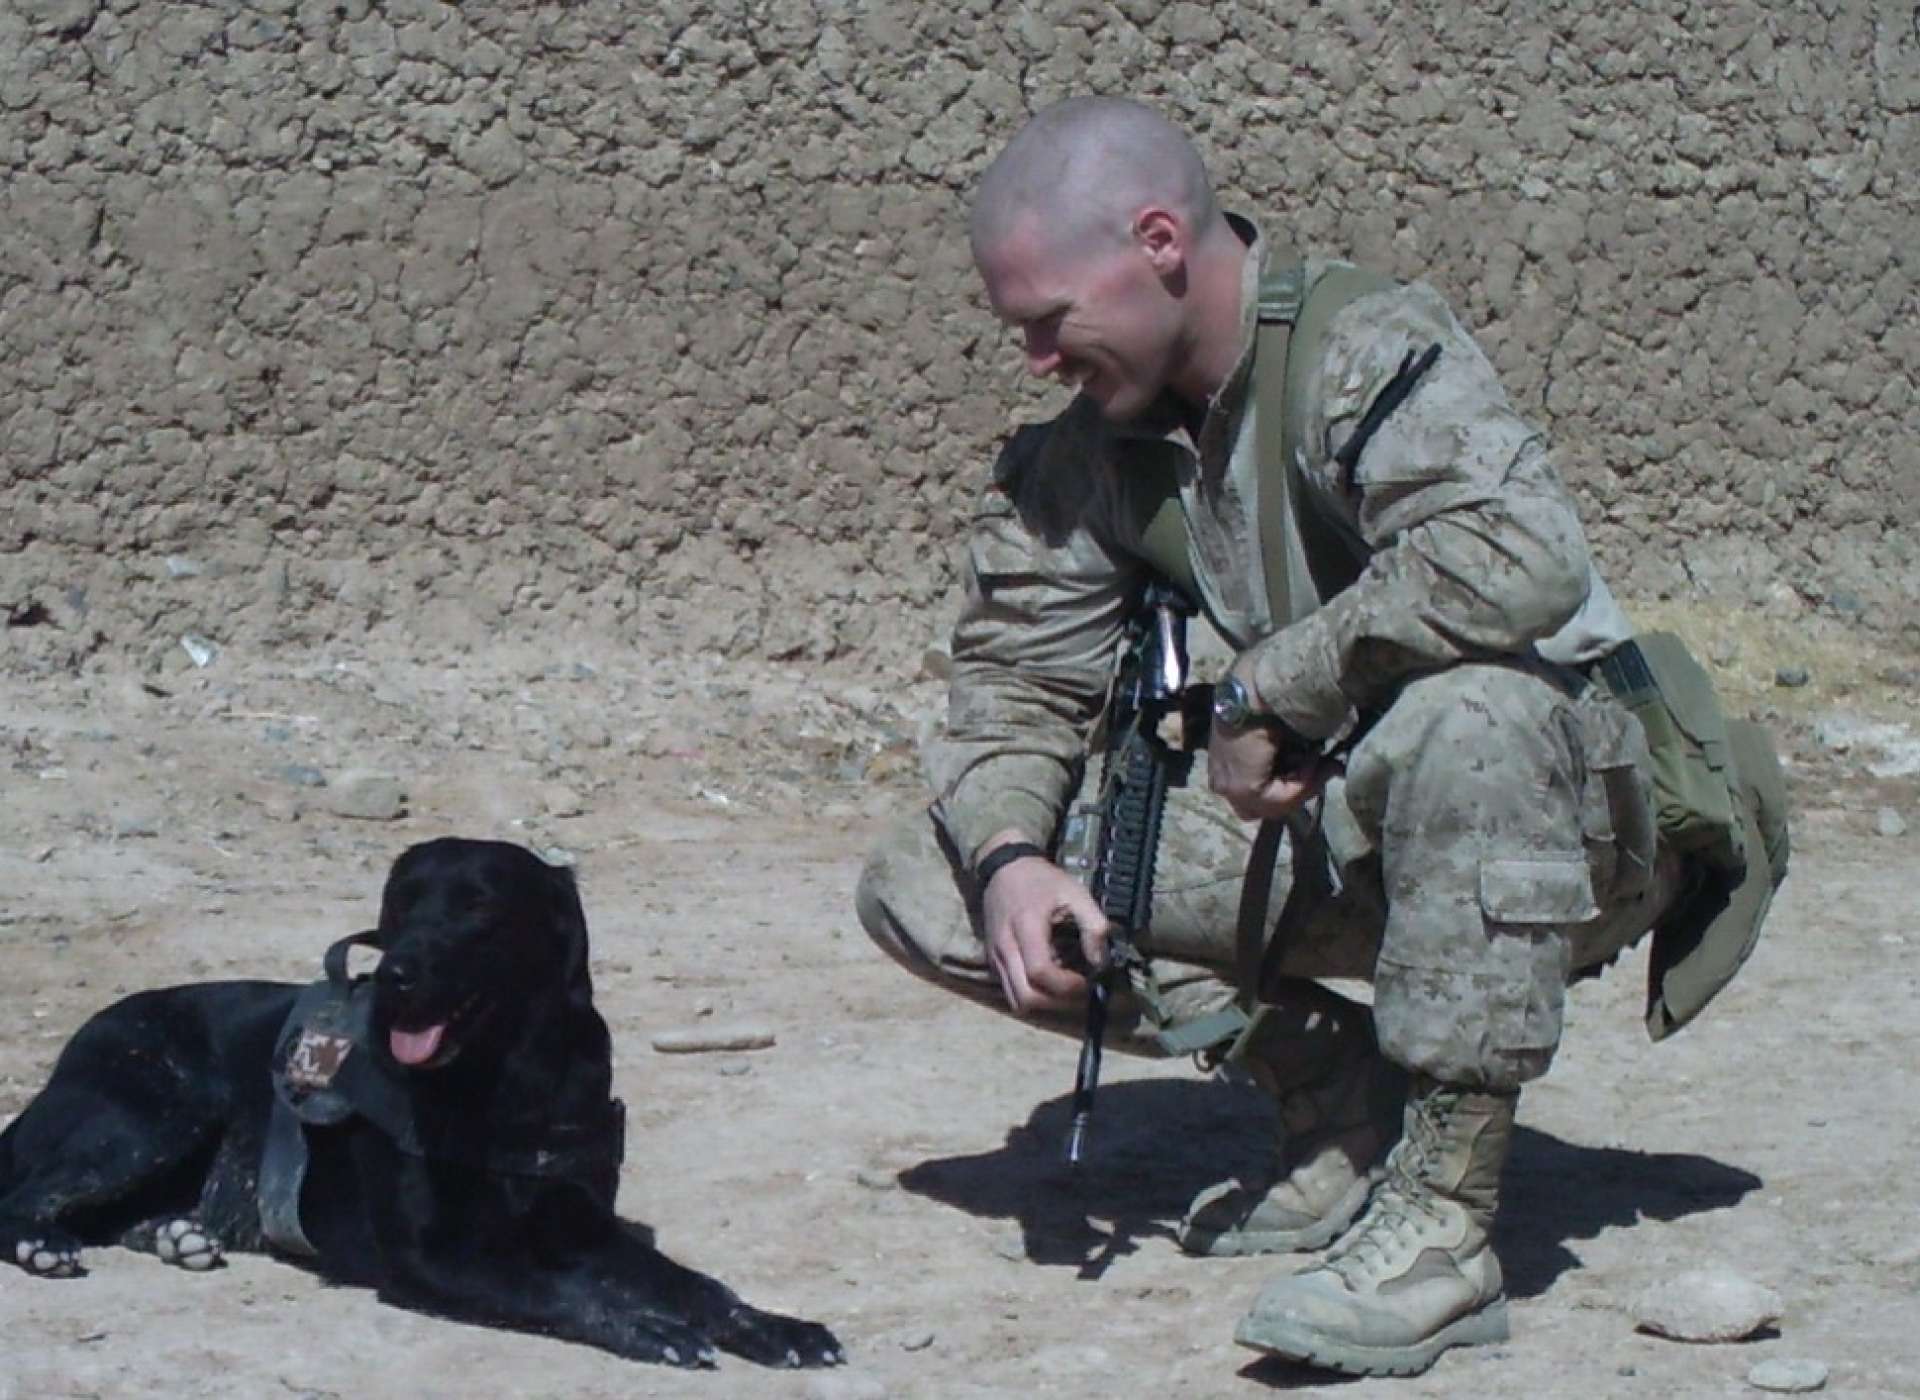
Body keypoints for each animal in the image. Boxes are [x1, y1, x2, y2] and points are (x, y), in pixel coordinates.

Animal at [0, 837, 840, 1367]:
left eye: (479, 908)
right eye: (400, 905)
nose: (398, 973)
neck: (504, 1082)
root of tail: (82, 1038)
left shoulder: (586, 1228)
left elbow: (695, 1283)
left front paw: (774, 1326)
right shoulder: (434, 1259)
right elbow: (559, 1288)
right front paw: (645, 1325)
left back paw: (176, 1234)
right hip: (156, 1111)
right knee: (28, 1191)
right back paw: (43, 1243)